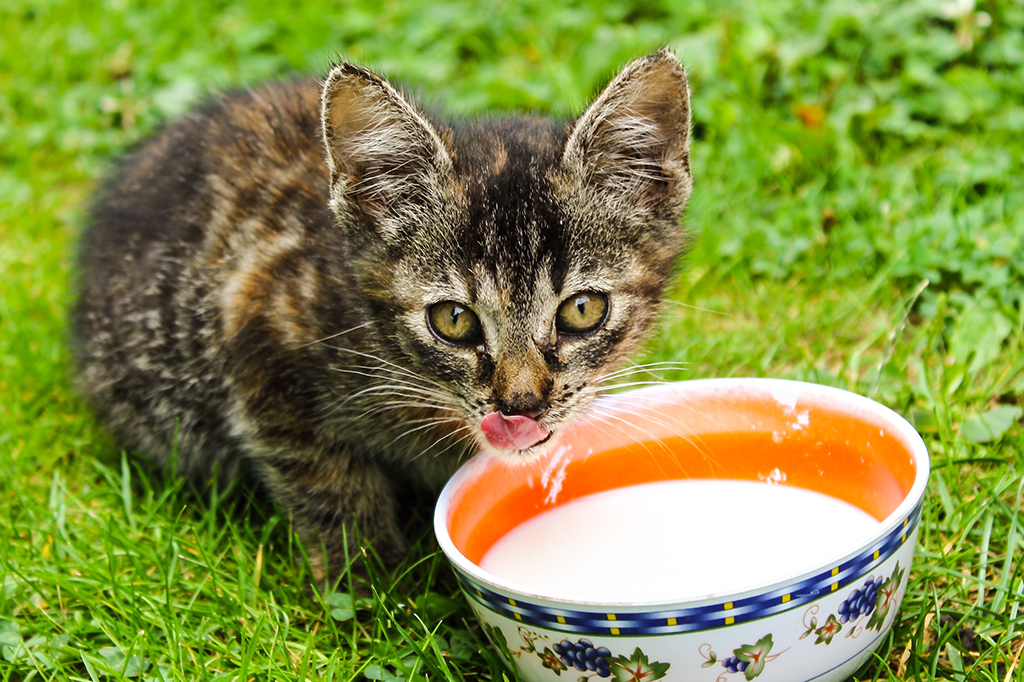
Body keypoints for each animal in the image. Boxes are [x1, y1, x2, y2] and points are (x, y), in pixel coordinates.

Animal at [74, 47, 696, 581]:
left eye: (582, 310)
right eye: (453, 320)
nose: (521, 405)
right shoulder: (260, 334)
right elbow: (326, 480)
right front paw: (371, 580)